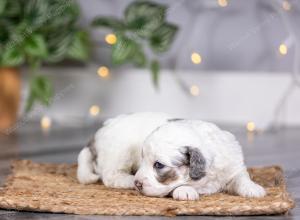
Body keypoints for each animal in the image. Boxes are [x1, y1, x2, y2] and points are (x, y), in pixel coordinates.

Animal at [77, 112, 264, 200]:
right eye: (143, 159)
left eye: (158, 165)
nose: (138, 183)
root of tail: (103, 128)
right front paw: (185, 191)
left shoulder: (233, 164)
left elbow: (241, 177)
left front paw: (253, 188)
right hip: (120, 151)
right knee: (110, 176)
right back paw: (128, 180)